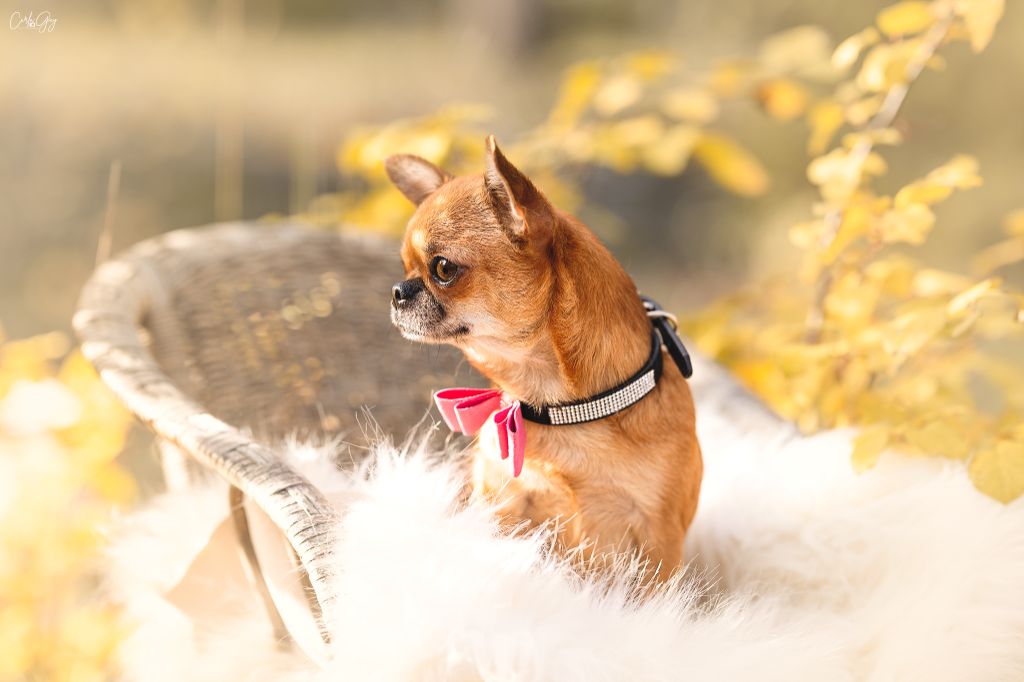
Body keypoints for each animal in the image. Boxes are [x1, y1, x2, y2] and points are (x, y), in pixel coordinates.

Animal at [386, 136, 702, 579]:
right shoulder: (502, 502)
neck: (563, 406)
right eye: (404, 267)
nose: (397, 291)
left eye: (443, 268)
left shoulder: (659, 540)